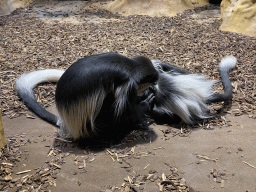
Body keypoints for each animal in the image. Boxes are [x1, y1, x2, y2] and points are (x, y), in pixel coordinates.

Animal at [16, 52, 158, 140]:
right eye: (151, 80)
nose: (155, 83)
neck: (130, 66)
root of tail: (67, 124)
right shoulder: (127, 85)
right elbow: (126, 110)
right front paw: (143, 108)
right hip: (95, 125)